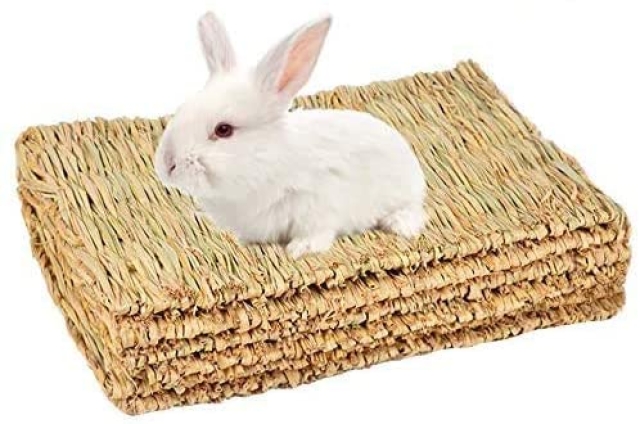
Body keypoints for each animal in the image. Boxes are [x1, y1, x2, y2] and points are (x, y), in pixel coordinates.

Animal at [154, 11, 427, 258]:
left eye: (223, 130)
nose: (167, 164)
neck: (267, 163)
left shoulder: (318, 205)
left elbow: (317, 232)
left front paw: (300, 249)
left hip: (403, 194)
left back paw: (400, 225)